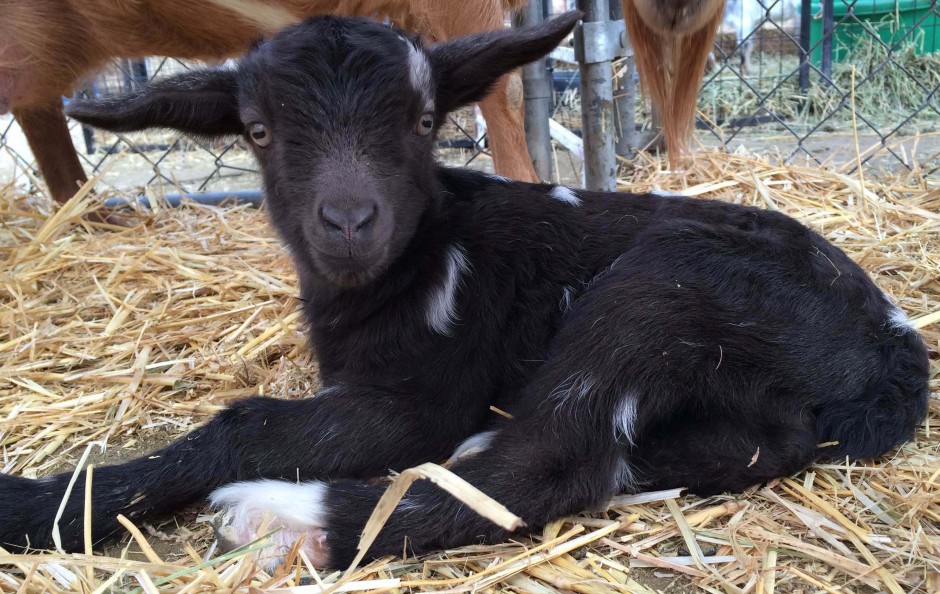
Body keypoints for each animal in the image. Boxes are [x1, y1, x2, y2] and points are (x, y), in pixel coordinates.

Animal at [0, 12, 928, 571]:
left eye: (420, 121)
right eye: (258, 131)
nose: (349, 220)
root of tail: (892, 338)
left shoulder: (425, 397)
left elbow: (248, 423)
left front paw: (46, 504)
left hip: (667, 285)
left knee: (549, 464)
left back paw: (288, 520)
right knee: (724, 448)